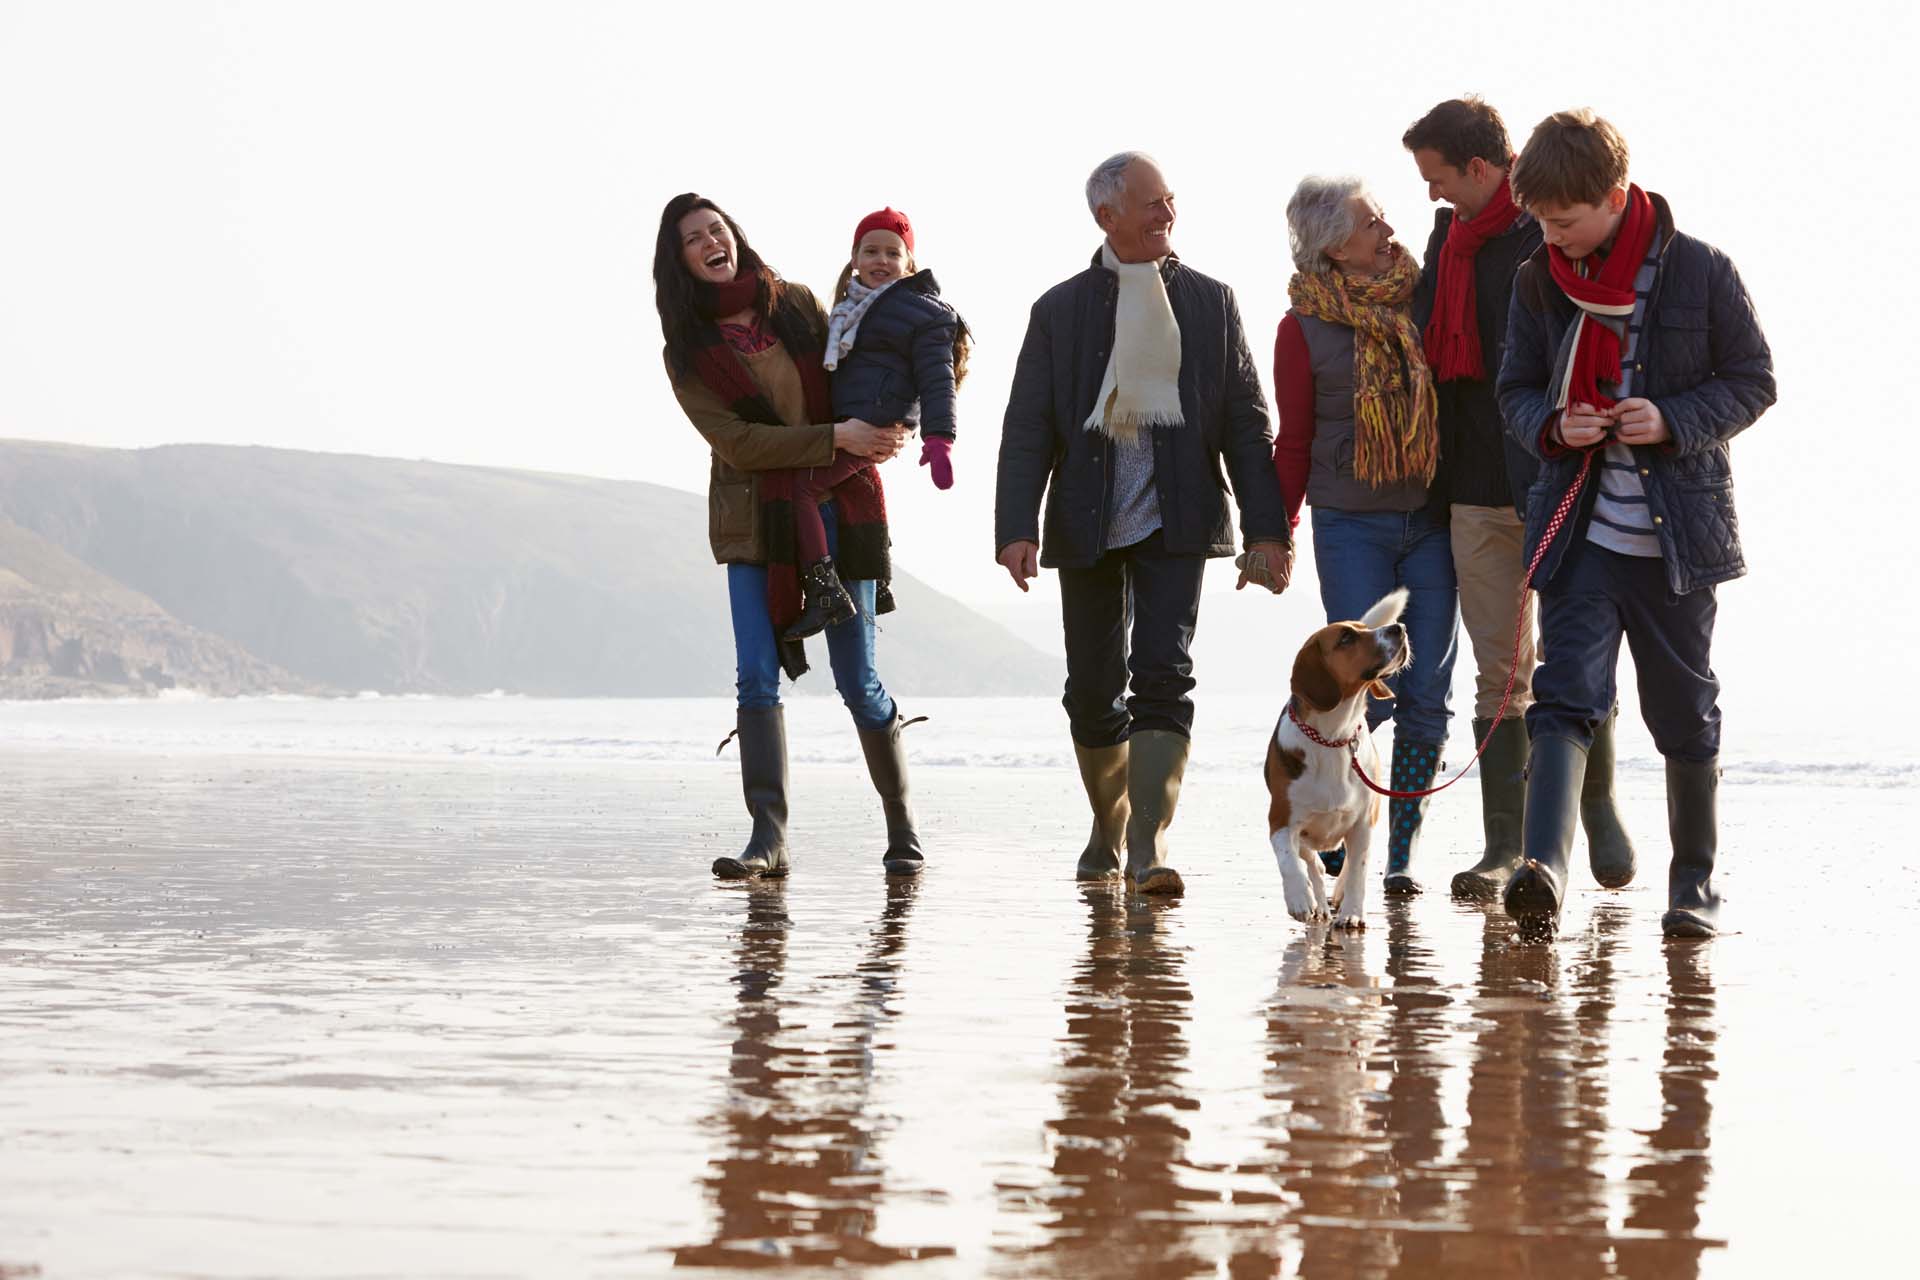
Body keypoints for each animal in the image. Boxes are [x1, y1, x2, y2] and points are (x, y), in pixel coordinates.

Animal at [1274, 591, 1413, 932]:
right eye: (1346, 638)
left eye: (1365, 629)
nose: (1400, 628)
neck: (1333, 736)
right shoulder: (1280, 820)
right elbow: (1288, 861)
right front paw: (1299, 898)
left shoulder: (1362, 823)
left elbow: (1358, 871)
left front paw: (1351, 912)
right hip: (1306, 836)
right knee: (1313, 864)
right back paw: (1318, 903)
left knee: (1346, 865)